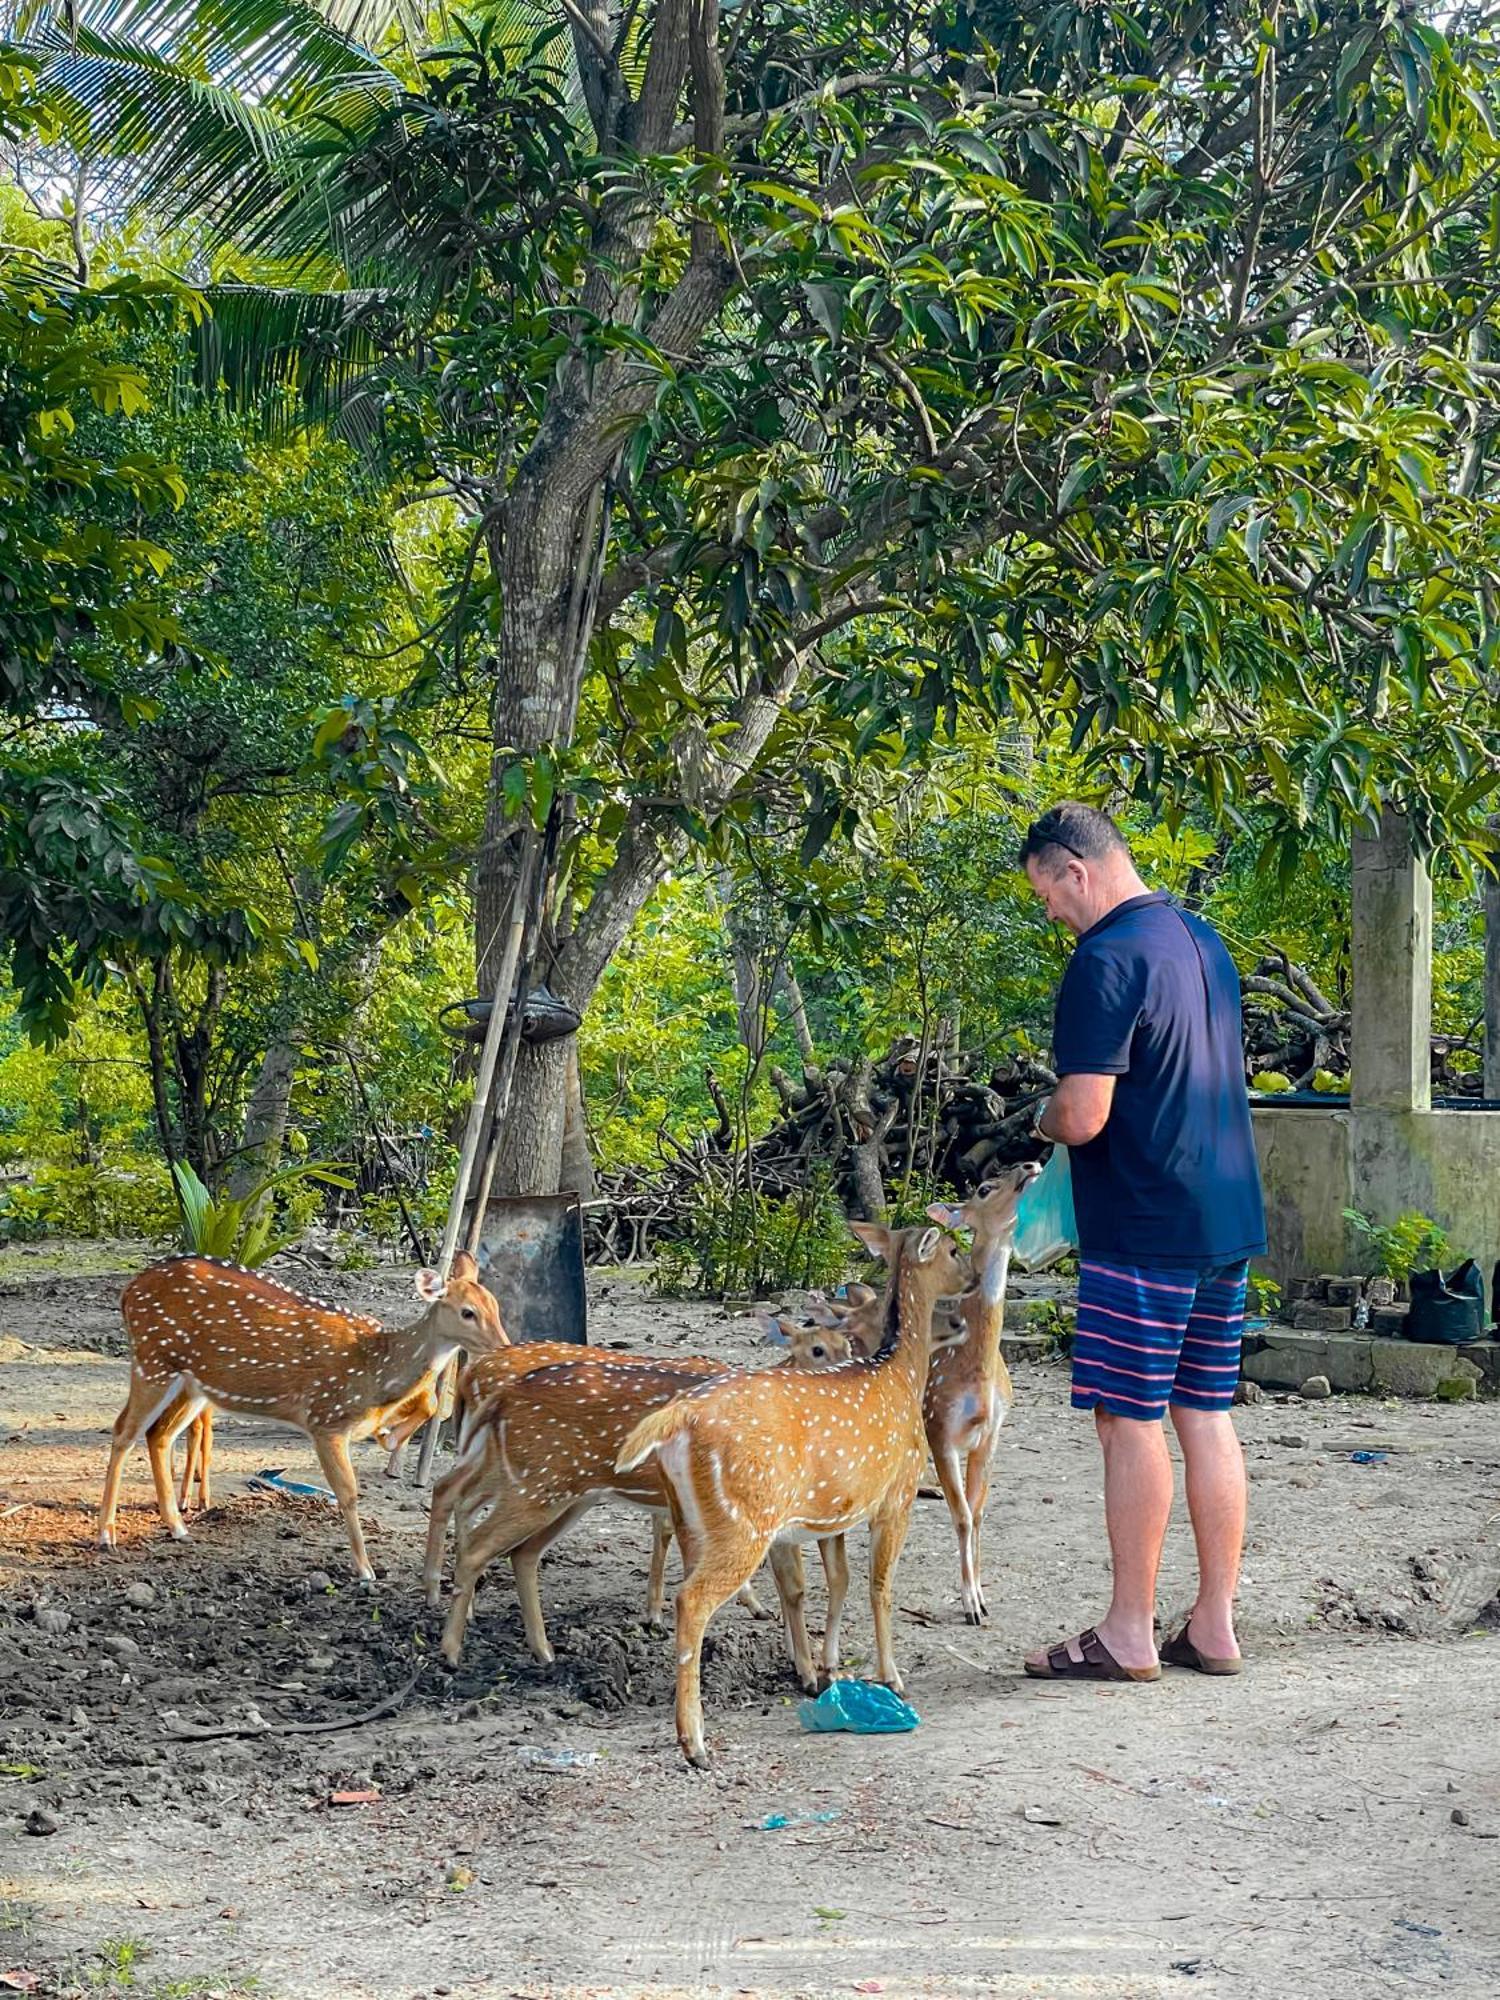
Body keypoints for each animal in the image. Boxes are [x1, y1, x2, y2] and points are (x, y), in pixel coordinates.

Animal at [101, 1248, 512, 1576]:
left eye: (495, 1306)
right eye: (467, 1312)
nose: (504, 1347)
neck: (374, 1370)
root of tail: (128, 1291)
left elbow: (429, 1402)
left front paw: (388, 1435)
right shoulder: (325, 1419)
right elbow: (348, 1492)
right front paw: (365, 1570)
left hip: (193, 1383)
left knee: (159, 1434)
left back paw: (177, 1526)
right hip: (153, 1360)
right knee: (123, 1431)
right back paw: (107, 1534)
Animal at [434, 1312, 856, 1672]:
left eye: (848, 1346)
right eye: (817, 1350)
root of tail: (477, 1380)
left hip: (549, 1486)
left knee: (486, 1521)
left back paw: (536, 1647)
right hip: (527, 1480)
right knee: (465, 1514)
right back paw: (451, 1646)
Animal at [616, 1216, 968, 1768]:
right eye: (954, 1249)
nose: (973, 1280)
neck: (900, 1374)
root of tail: (677, 1419)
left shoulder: (833, 1513)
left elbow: (837, 1581)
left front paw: (827, 1670)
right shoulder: (896, 1492)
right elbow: (879, 1585)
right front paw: (891, 1678)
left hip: (693, 1517)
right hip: (745, 1519)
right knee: (691, 1600)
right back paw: (695, 1744)